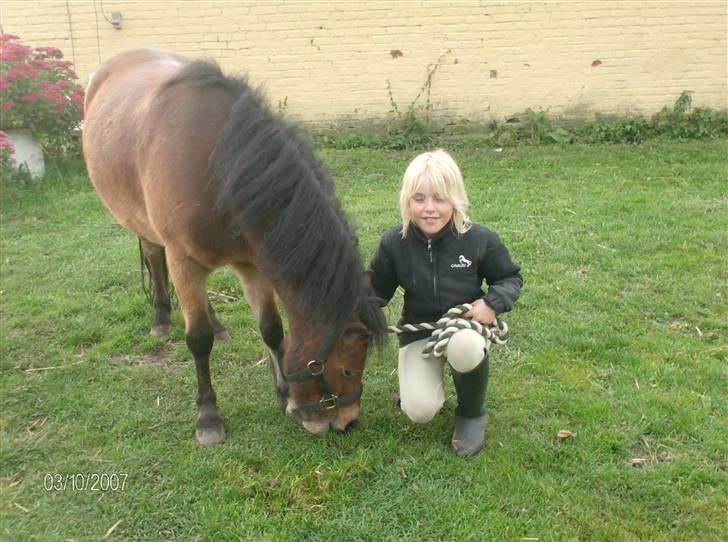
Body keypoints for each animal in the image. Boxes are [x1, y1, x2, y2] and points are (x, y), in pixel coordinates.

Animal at [83, 47, 390, 446]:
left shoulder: (253, 262)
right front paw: (208, 416)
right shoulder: (183, 260)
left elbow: (271, 328)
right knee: (155, 259)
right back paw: (162, 318)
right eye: (351, 367)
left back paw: (216, 323)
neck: (217, 169)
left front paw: (283, 395)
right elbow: (197, 340)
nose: (347, 422)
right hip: (147, 229)